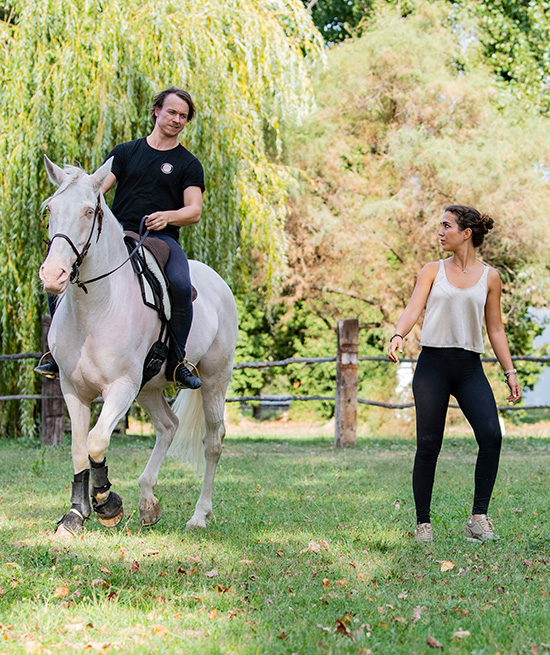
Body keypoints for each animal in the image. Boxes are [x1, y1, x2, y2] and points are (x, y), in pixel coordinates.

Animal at [38, 156, 237, 536]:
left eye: (89, 211)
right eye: (50, 208)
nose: (53, 275)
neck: (96, 309)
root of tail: (219, 282)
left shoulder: (121, 387)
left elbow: (96, 441)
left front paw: (107, 505)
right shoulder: (73, 388)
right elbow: (78, 447)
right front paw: (75, 514)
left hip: (213, 380)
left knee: (213, 442)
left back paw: (199, 515)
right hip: (149, 387)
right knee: (168, 426)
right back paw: (148, 504)